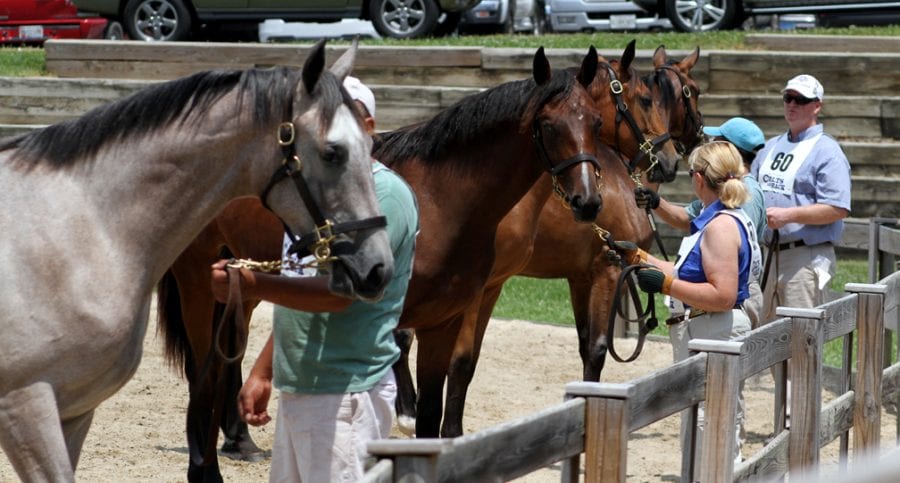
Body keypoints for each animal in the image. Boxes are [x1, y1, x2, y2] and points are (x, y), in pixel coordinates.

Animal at [0, 39, 394, 482]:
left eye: (370, 146)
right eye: (332, 153)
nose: (378, 268)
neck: (86, 227)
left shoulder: (74, 411)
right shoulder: (26, 405)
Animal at [156, 47, 604, 478]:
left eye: (597, 122)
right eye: (548, 124)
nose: (588, 201)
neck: (443, 200)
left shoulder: (443, 323)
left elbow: (430, 417)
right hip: (196, 282)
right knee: (204, 376)